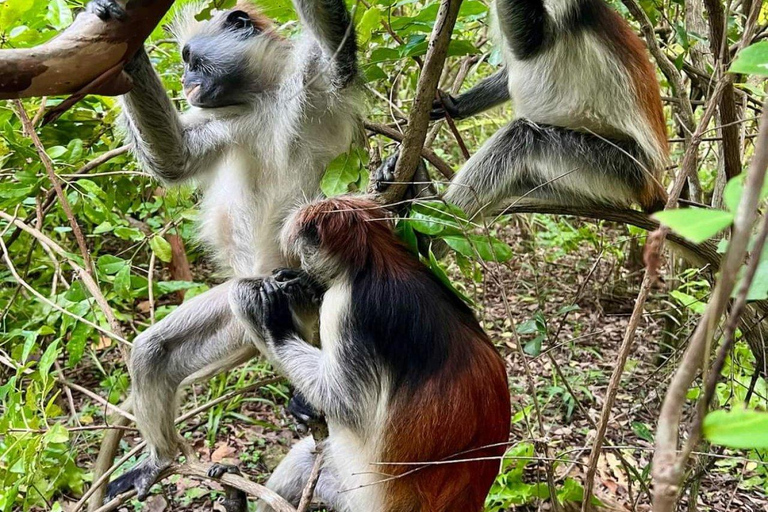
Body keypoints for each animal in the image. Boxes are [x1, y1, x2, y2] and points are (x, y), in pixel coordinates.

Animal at [88, 0, 364, 504]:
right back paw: (160, 461)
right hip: (241, 308)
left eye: (190, 60)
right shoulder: (222, 118)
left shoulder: (319, 76)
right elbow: (174, 159)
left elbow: (338, 52)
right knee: (155, 351)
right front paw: (129, 51)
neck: (263, 98)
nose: (184, 81)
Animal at [231, 196, 512, 512]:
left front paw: (277, 322)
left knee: (243, 295)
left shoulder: (345, 307)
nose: (301, 265)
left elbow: (341, 400)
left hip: (362, 492)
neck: (375, 260)